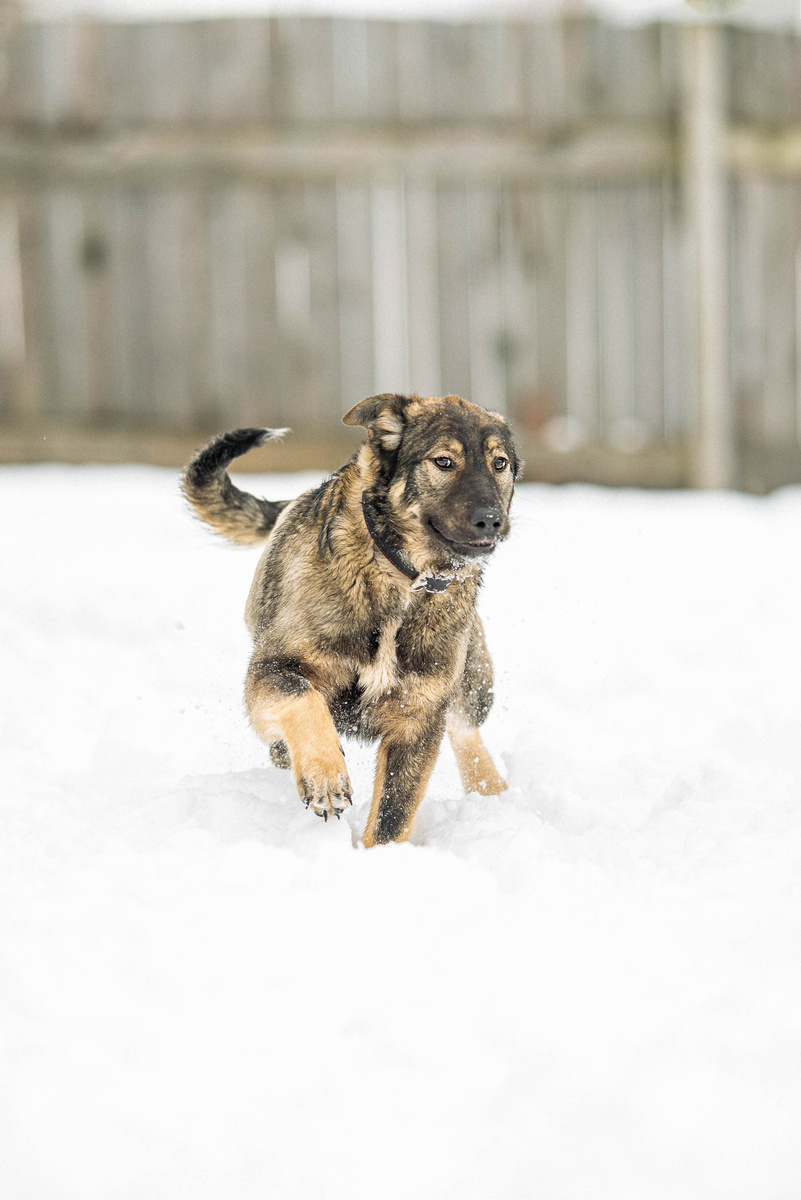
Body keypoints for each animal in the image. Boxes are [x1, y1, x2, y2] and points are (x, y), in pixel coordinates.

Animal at [182, 393, 520, 844]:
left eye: (499, 463)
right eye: (444, 462)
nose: (492, 520)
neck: (401, 578)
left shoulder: (417, 720)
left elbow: (392, 817)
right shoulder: (272, 668)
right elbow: (303, 698)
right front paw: (325, 776)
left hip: (472, 677)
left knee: (465, 727)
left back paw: (493, 795)